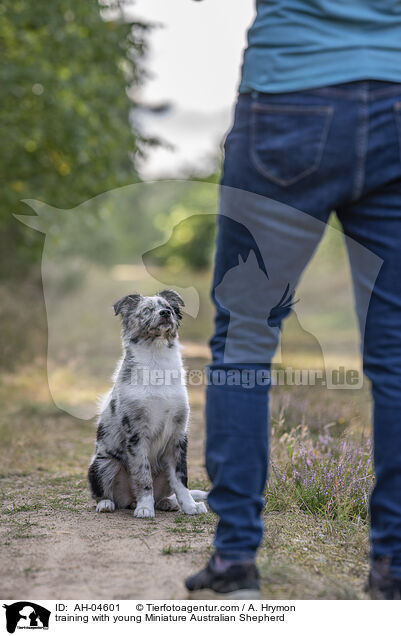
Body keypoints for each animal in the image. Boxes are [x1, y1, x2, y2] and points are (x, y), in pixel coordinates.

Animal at [87, 288, 206, 516]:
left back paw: (168, 502)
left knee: (166, 489)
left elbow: (181, 479)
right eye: (147, 310)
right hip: (103, 463)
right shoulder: (136, 434)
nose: (165, 313)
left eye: (168, 307)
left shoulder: (178, 436)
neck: (156, 361)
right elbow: (143, 476)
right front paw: (144, 508)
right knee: (103, 493)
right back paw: (108, 504)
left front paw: (190, 506)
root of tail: (128, 500)